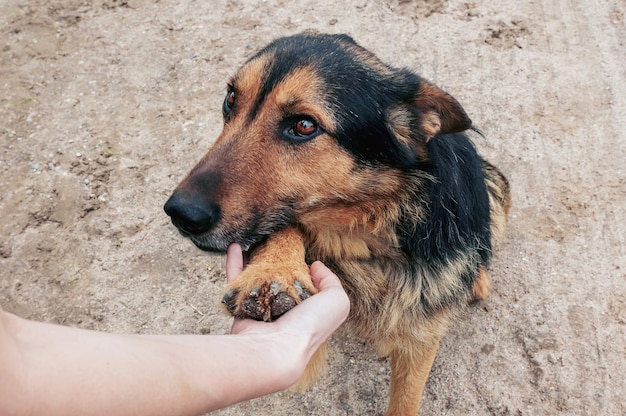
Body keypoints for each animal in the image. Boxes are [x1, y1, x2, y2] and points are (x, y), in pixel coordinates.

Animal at [163, 33, 510, 416]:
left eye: (304, 125)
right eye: (230, 100)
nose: (180, 213)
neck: (369, 226)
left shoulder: (421, 335)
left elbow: (405, 400)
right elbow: (287, 225)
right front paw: (272, 272)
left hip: (495, 185)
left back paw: (477, 279)